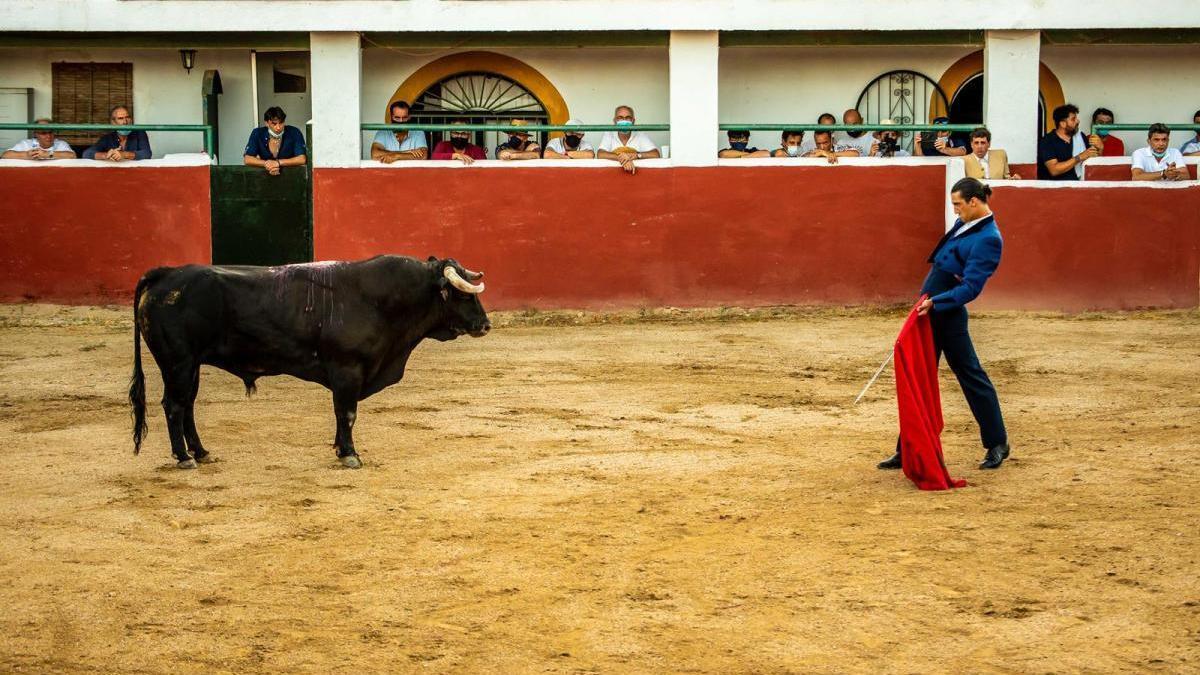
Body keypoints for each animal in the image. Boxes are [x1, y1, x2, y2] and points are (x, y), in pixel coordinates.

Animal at [129, 253, 489, 468]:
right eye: (463, 294)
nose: (485, 325)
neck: (381, 301)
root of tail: (165, 275)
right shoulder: (347, 370)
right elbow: (347, 412)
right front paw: (350, 454)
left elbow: (342, 414)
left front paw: (340, 448)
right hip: (178, 362)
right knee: (174, 405)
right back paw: (183, 457)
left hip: (191, 365)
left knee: (187, 404)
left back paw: (200, 452)